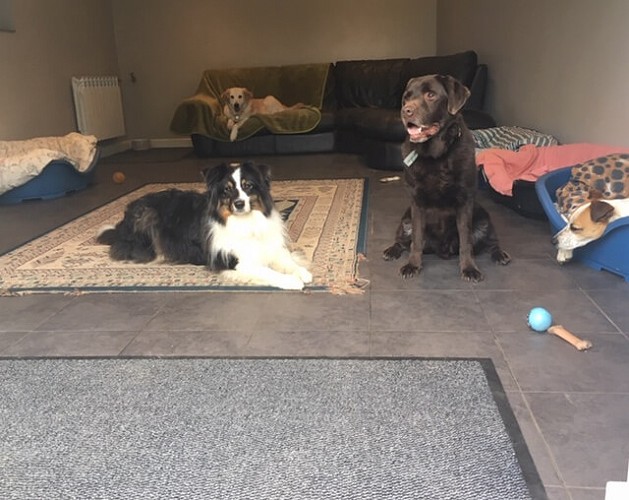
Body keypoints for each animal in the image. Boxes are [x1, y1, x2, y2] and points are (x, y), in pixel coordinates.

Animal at [96, 161, 313, 290]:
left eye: (248, 186)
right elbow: (267, 271)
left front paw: (302, 272)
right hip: (147, 215)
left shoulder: (269, 246)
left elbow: (288, 261)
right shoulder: (233, 260)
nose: (239, 204)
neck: (245, 221)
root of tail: (122, 223)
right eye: (227, 190)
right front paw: (291, 281)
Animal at [382, 74, 510, 281]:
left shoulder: (465, 201)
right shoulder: (416, 203)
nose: (405, 111)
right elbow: (416, 240)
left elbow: (466, 242)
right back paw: (392, 251)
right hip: (406, 219)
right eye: (406, 97)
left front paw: (469, 268)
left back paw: (500, 255)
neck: (436, 156)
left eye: (431, 95)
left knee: (491, 243)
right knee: (403, 241)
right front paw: (412, 265)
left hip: (484, 219)